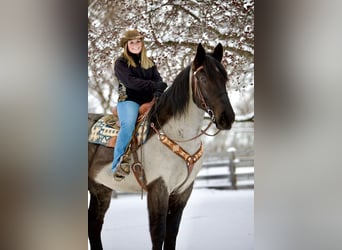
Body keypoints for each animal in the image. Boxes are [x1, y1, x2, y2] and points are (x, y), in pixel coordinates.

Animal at [87, 43, 235, 250]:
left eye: (225, 78)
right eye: (204, 78)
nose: (227, 118)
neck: (178, 136)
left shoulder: (182, 192)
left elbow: (172, 234)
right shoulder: (158, 189)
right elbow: (158, 234)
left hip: (100, 189)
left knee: (94, 225)